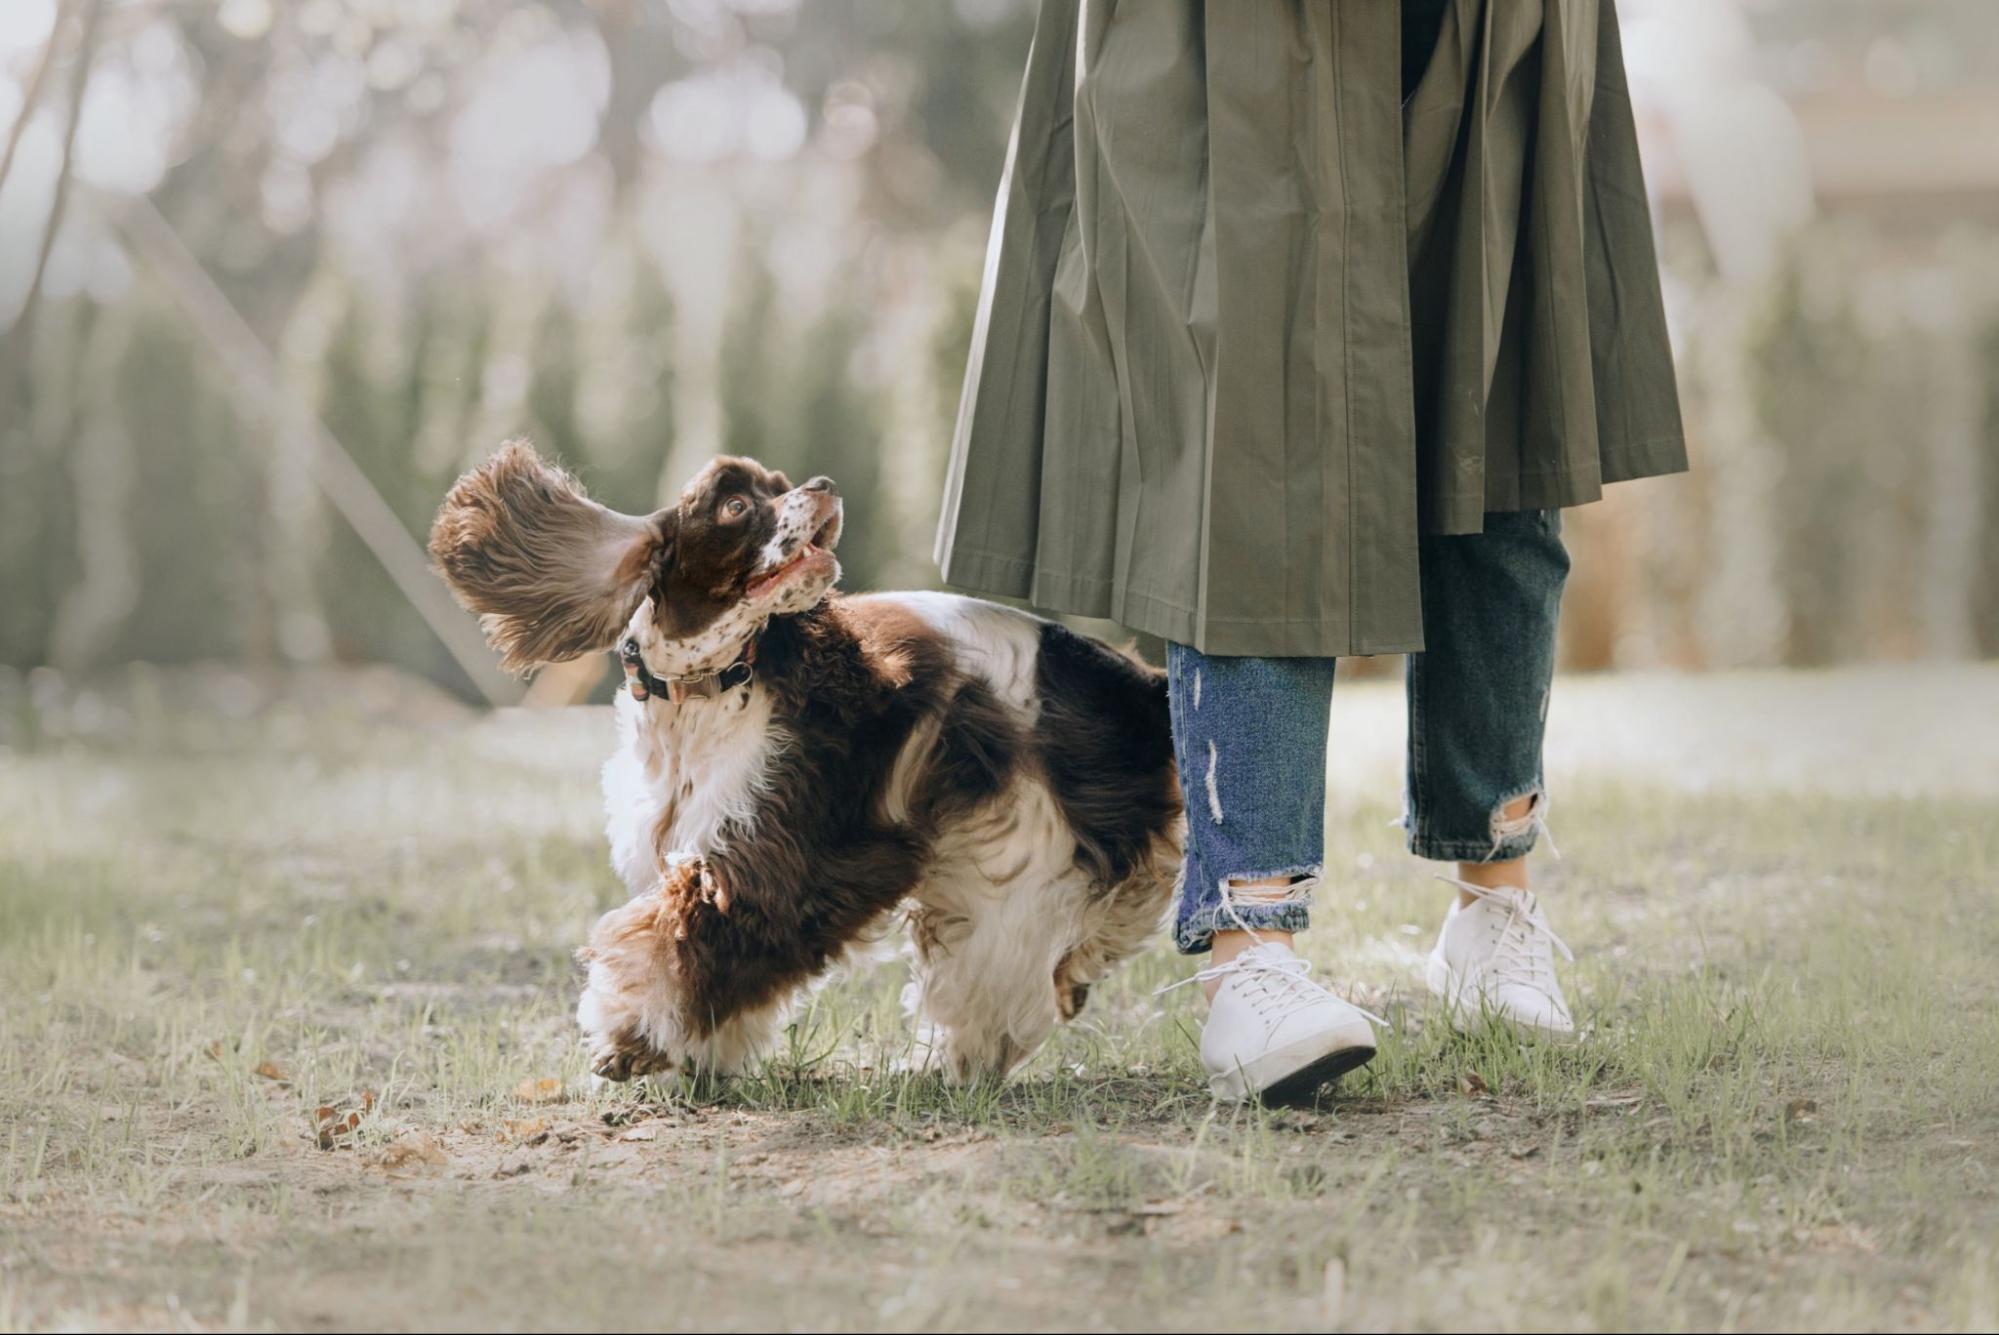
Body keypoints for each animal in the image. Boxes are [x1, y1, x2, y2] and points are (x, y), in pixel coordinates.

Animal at [429, 443, 1175, 1079]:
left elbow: (682, 940)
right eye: (735, 504)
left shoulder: (772, 852)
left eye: (780, 484)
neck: (703, 691)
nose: (822, 484)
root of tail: (1137, 684)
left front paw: (628, 1034)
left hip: (1019, 854)